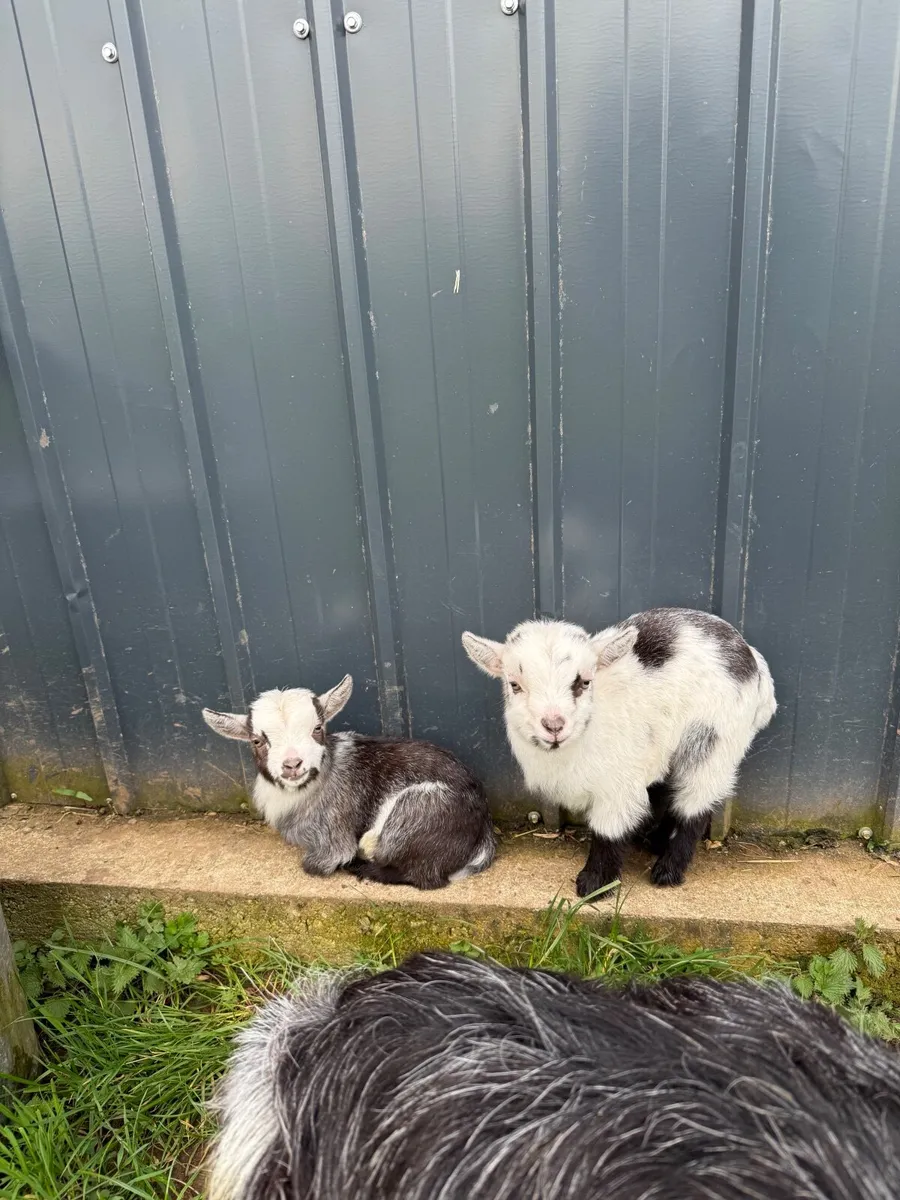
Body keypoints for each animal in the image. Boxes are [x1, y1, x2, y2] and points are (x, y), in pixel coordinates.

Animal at [202, 676, 495, 890]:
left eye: (317, 728)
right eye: (256, 740)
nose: (292, 764)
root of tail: (483, 832)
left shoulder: (333, 837)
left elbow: (316, 865)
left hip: (416, 810)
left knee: (419, 875)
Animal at [462, 608, 776, 895]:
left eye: (584, 682)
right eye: (514, 685)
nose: (553, 726)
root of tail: (752, 658)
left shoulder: (617, 784)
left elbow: (607, 830)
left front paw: (594, 885)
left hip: (714, 740)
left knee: (696, 801)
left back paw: (668, 870)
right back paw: (655, 841)